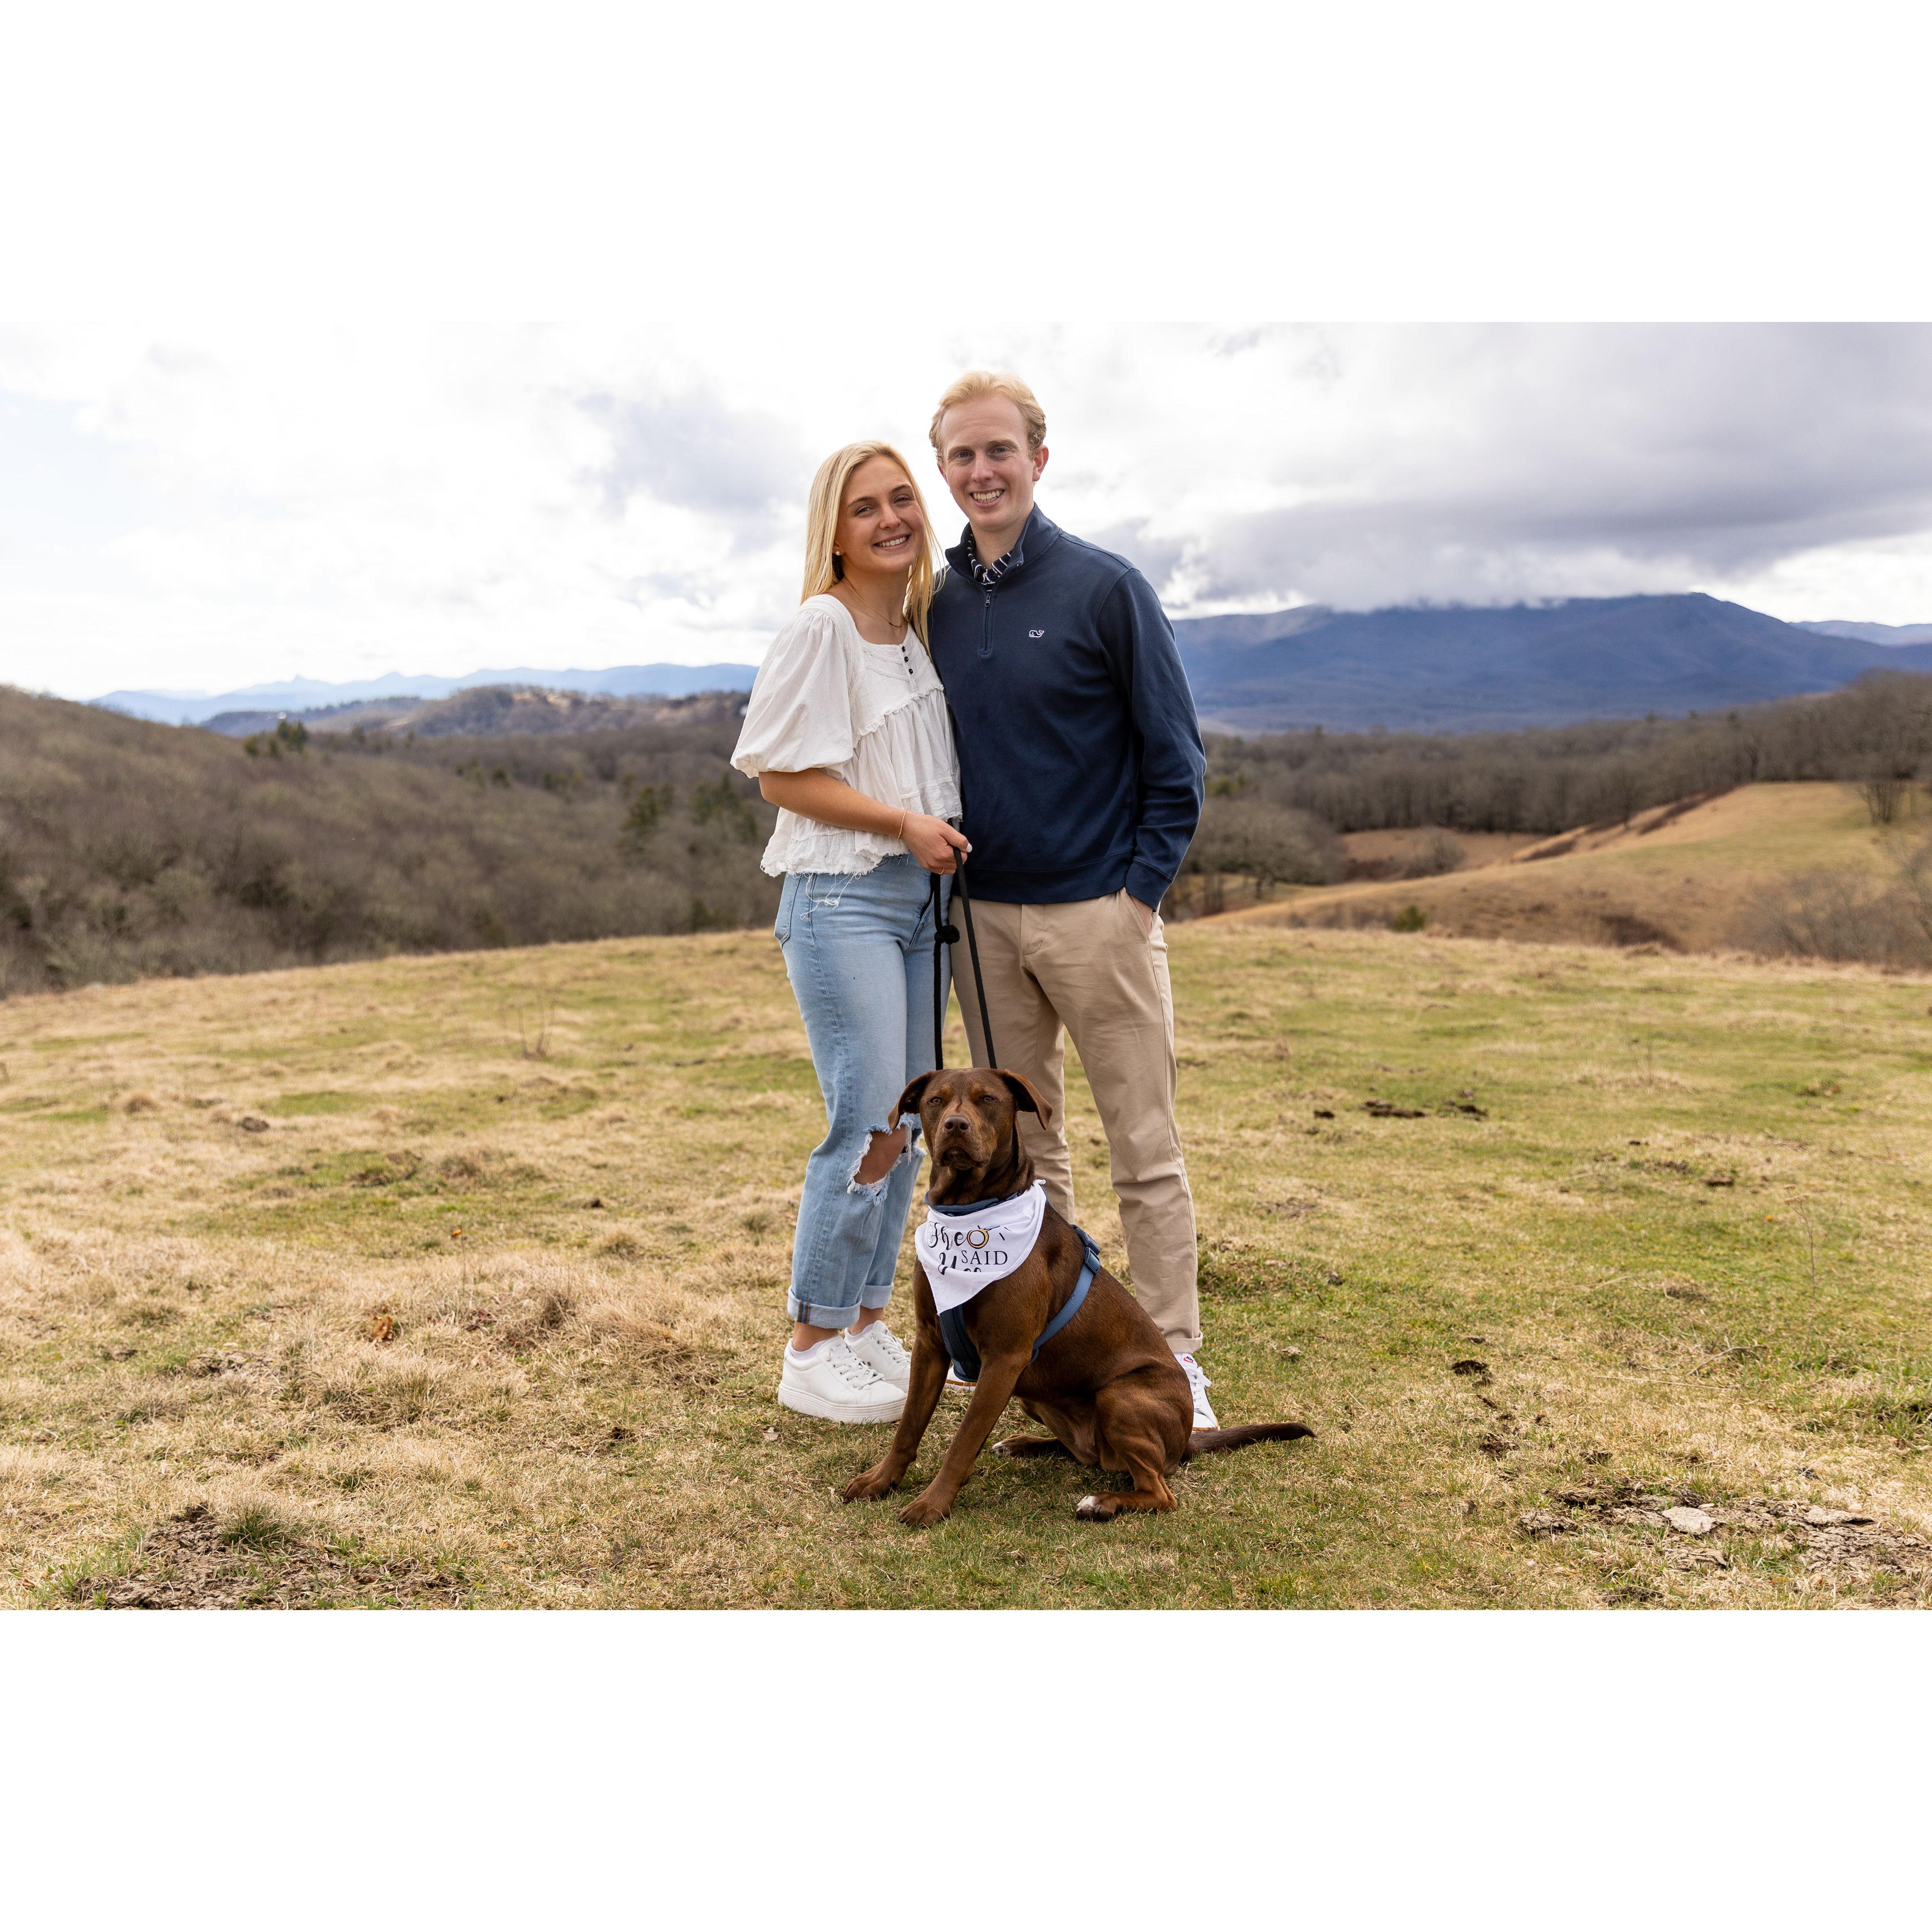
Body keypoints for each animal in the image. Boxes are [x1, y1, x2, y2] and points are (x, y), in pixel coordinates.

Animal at [842, 1066, 1313, 1526]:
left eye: (988, 1099)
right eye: (935, 1100)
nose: (956, 1125)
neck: (971, 1209)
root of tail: (1183, 1444)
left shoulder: (1004, 1357)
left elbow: (963, 1440)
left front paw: (931, 1505)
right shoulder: (931, 1342)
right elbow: (908, 1426)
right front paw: (881, 1480)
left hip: (1119, 1397)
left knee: (1160, 1491)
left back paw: (1102, 1503)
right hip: (1035, 1394)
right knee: (1086, 1454)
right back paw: (1026, 1445)